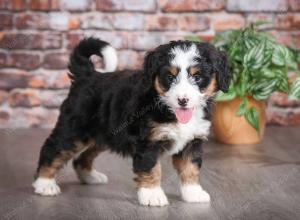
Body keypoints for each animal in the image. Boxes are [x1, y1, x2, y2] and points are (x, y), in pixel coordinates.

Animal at [32, 37, 230, 206]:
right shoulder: (148, 142)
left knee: (82, 157)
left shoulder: (192, 142)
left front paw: (193, 193)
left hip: (103, 135)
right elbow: (151, 168)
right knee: (53, 149)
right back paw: (44, 184)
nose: (183, 100)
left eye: (197, 77)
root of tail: (88, 75)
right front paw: (152, 195)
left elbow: (190, 168)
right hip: (74, 130)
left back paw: (90, 177)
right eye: (170, 77)